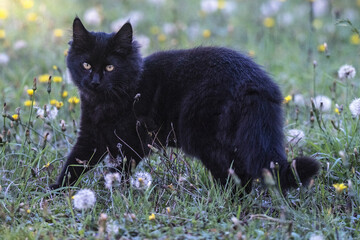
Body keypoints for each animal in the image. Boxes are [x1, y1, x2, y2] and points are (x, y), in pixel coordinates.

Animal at [49, 17, 320, 193]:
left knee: (237, 175)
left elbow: (118, 172)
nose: (94, 81)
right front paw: (55, 190)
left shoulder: (130, 143)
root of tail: (255, 82)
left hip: (204, 136)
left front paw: (114, 196)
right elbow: (74, 163)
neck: (103, 103)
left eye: (109, 67)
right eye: (85, 64)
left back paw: (224, 201)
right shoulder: (92, 136)